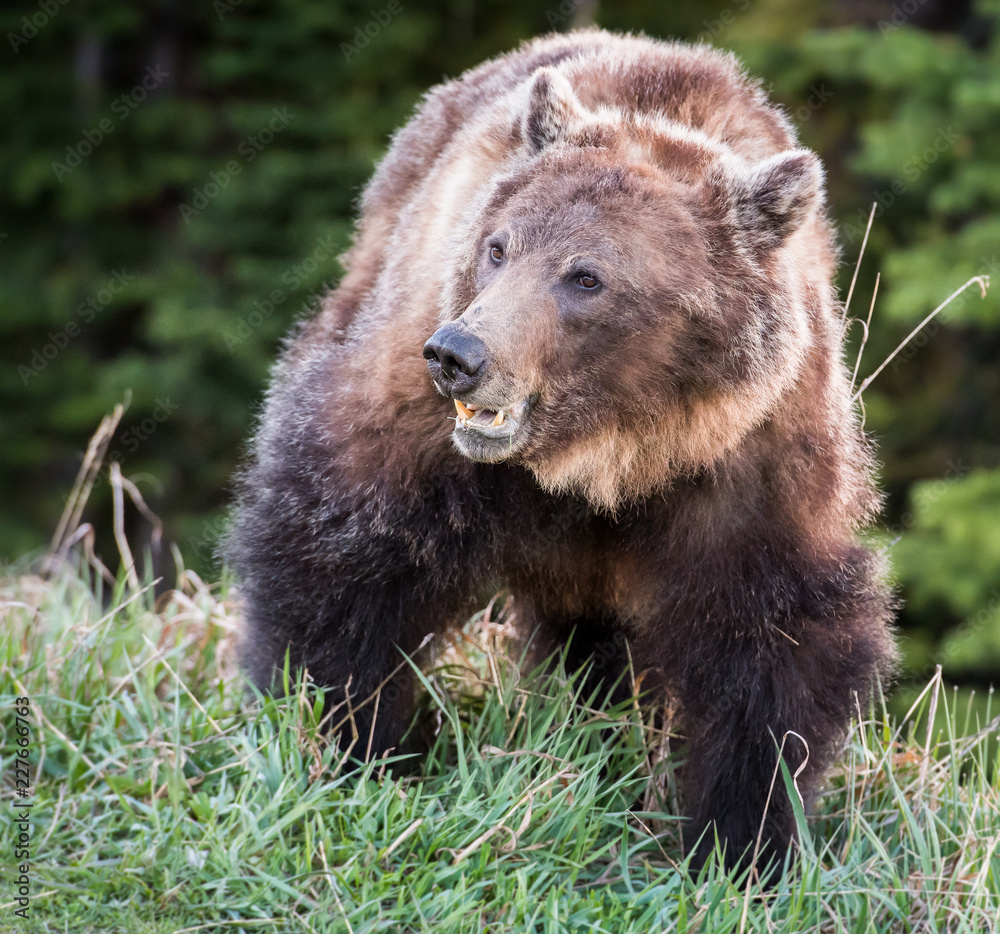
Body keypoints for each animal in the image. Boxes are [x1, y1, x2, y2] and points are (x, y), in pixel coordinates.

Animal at [227, 29, 896, 877]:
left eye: (586, 276)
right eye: (498, 247)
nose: (458, 355)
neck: (607, 453)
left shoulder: (749, 460)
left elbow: (770, 641)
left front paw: (741, 845)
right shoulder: (422, 428)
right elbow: (344, 552)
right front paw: (351, 744)